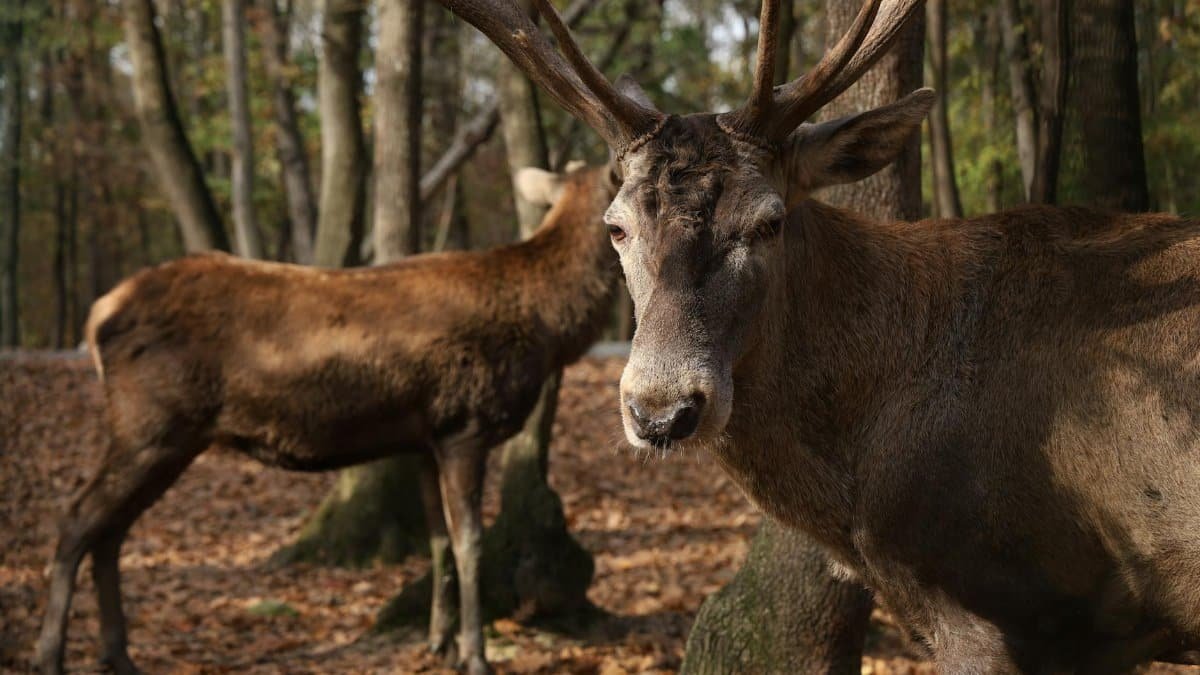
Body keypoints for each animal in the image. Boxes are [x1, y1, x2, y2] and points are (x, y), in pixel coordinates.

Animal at [34, 163, 618, 675]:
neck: (546, 330)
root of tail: (97, 315)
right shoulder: (464, 424)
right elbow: (468, 543)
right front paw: (474, 656)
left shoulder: (423, 438)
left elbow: (436, 541)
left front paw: (439, 642)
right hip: (150, 424)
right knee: (79, 517)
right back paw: (50, 656)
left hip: (162, 437)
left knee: (110, 532)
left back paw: (118, 656)